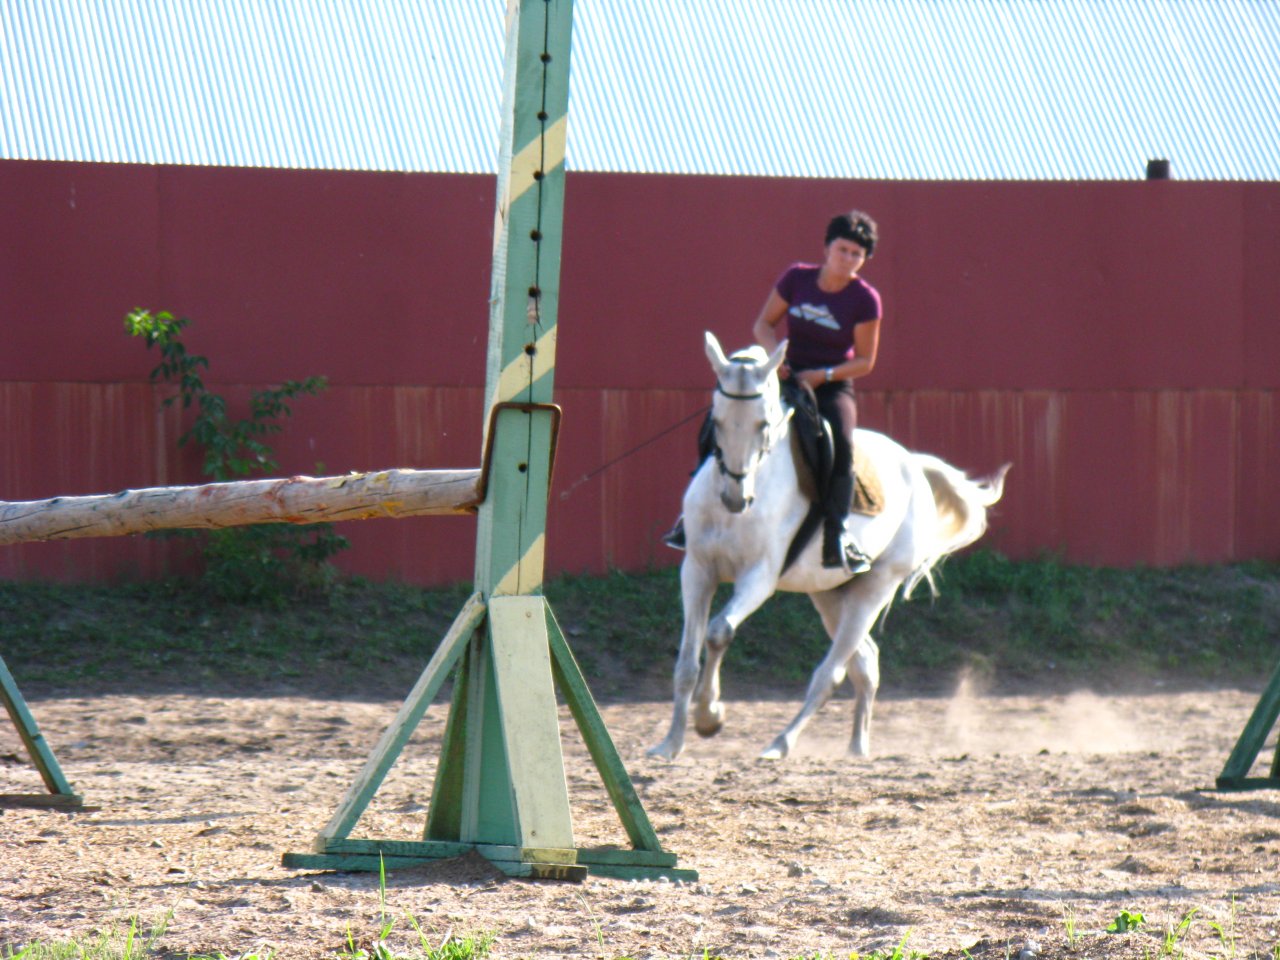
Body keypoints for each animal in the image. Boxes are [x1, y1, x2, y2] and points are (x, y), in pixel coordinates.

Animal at [647, 331, 1010, 761]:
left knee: (832, 673)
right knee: (865, 662)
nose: (735, 499)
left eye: (763, 424)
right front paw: (670, 744)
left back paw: (780, 744)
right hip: (830, 595)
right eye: (715, 422)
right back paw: (856, 747)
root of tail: (912, 464)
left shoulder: (759, 577)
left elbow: (719, 632)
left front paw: (710, 716)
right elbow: (686, 664)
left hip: (874, 589)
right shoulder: (698, 570)